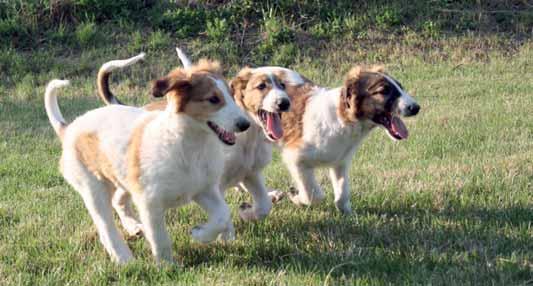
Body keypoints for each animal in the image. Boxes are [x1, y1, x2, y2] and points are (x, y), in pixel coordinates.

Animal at [44, 59, 249, 264]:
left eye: (231, 95)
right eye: (213, 99)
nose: (245, 124)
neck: (189, 146)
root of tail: (69, 128)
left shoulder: (204, 189)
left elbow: (223, 215)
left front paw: (201, 234)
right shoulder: (150, 202)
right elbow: (160, 238)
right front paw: (167, 266)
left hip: (121, 177)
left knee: (118, 201)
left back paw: (134, 228)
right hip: (93, 188)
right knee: (106, 228)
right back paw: (124, 259)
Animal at [270, 65, 420, 212]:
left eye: (400, 86)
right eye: (383, 91)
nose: (416, 108)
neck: (342, 118)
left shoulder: (340, 162)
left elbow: (343, 193)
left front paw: (347, 212)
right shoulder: (296, 158)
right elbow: (315, 195)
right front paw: (296, 198)